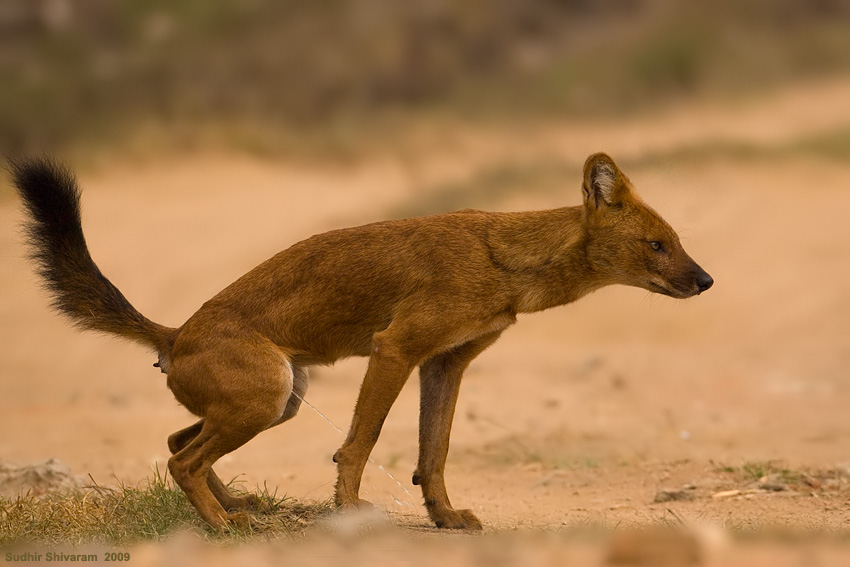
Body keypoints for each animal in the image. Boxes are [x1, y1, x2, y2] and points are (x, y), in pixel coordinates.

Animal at [11, 152, 708, 532]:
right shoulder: (395, 349)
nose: (705, 280)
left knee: (179, 443)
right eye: (656, 245)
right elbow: (361, 442)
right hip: (269, 394)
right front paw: (348, 510)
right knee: (184, 459)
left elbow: (435, 451)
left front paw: (445, 518)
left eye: (678, 242)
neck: (506, 260)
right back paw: (224, 526)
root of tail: (177, 331)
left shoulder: (446, 364)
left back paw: (237, 506)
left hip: (282, 398)